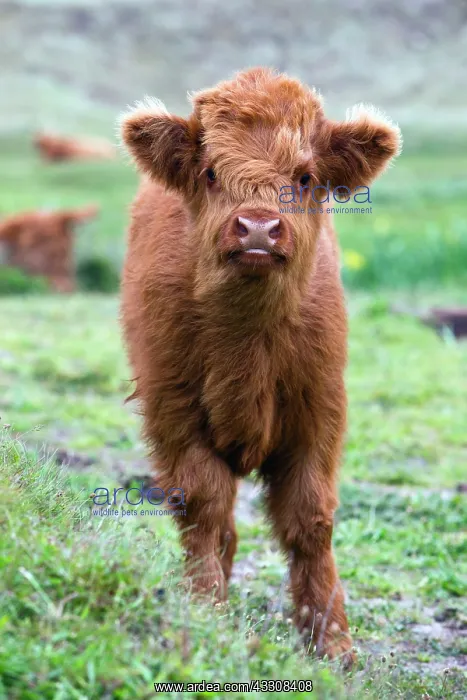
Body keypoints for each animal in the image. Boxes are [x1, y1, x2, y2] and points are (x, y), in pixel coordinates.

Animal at [119, 67, 401, 667]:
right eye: (209, 171)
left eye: (306, 175)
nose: (255, 229)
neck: (246, 346)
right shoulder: (173, 413)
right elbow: (205, 511)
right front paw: (205, 611)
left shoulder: (319, 414)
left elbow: (310, 521)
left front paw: (333, 644)